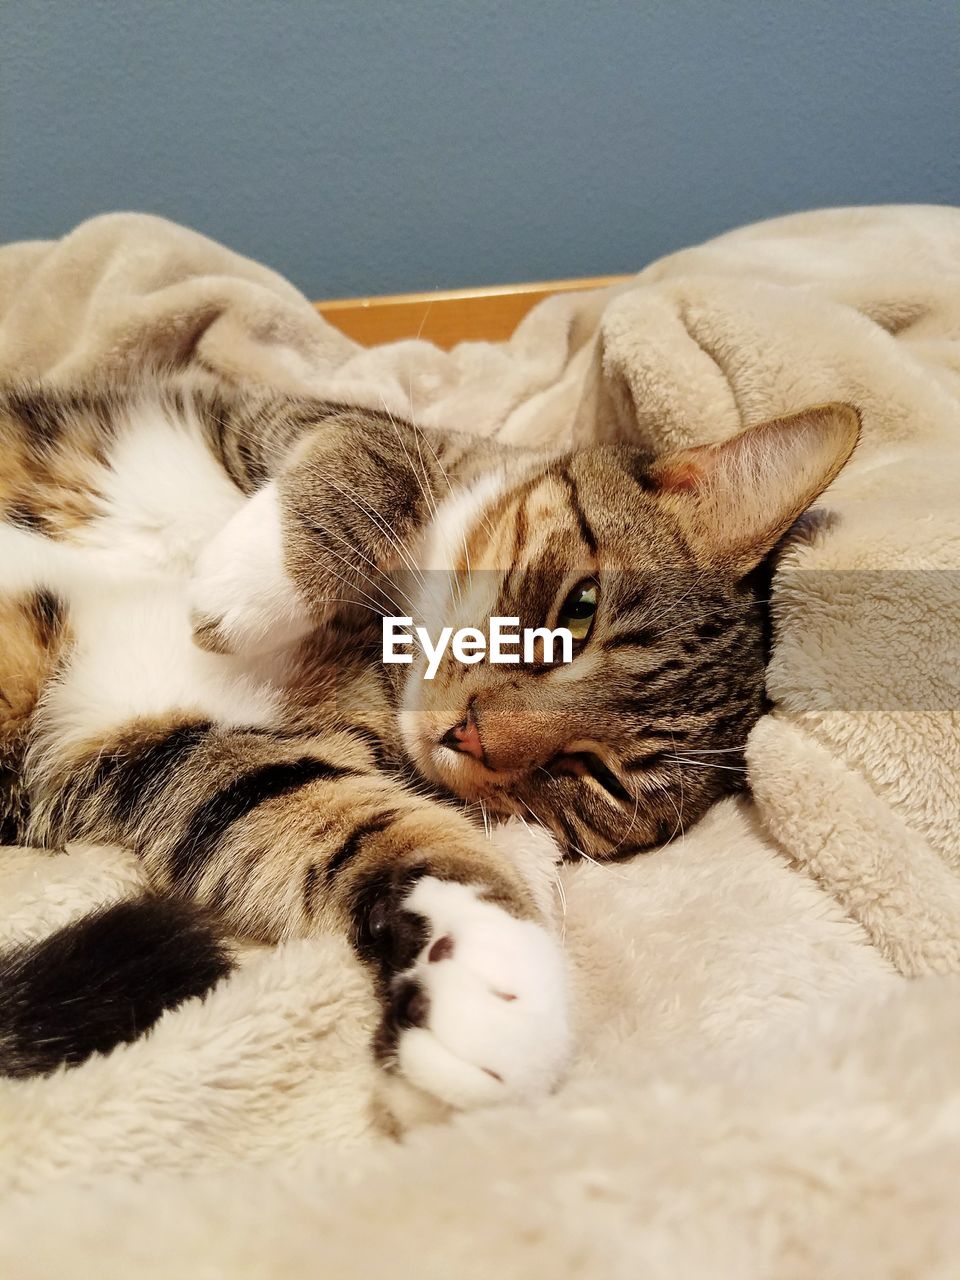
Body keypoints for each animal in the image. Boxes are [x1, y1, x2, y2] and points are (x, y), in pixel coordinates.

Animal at [0, 378, 855, 1111]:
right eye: (580, 610)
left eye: (594, 776)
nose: (467, 731)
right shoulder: (265, 410)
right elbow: (372, 446)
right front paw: (250, 581)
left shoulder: (159, 741)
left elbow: (352, 818)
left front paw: (497, 989)